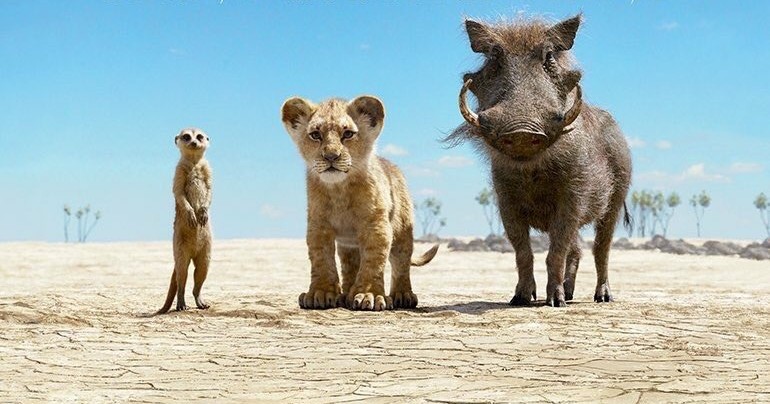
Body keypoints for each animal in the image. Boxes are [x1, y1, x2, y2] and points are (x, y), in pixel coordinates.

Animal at [281, 95, 439, 311]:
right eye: (315, 135)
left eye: (348, 134)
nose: (331, 156)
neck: (339, 189)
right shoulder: (318, 226)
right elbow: (321, 259)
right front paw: (320, 293)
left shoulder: (376, 225)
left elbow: (373, 260)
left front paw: (368, 295)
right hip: (348, 245)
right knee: (350, 265)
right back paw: (346, 295)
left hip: (402, 232)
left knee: (401, 263)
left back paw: (403, 295)